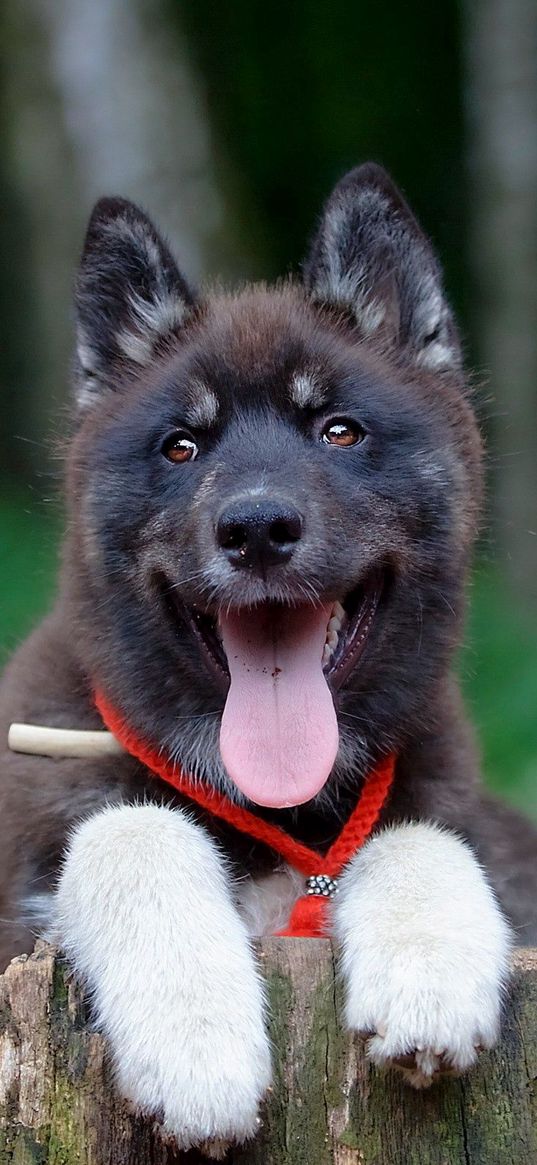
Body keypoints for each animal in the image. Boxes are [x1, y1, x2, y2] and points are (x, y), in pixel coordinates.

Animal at [1, 161, 535, 1146]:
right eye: (180, 445)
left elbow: (417, 830)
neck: (278, 810)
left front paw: (427, 971)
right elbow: (129, 827)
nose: (254, 528)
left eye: (339, 430)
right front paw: (195, 1043)